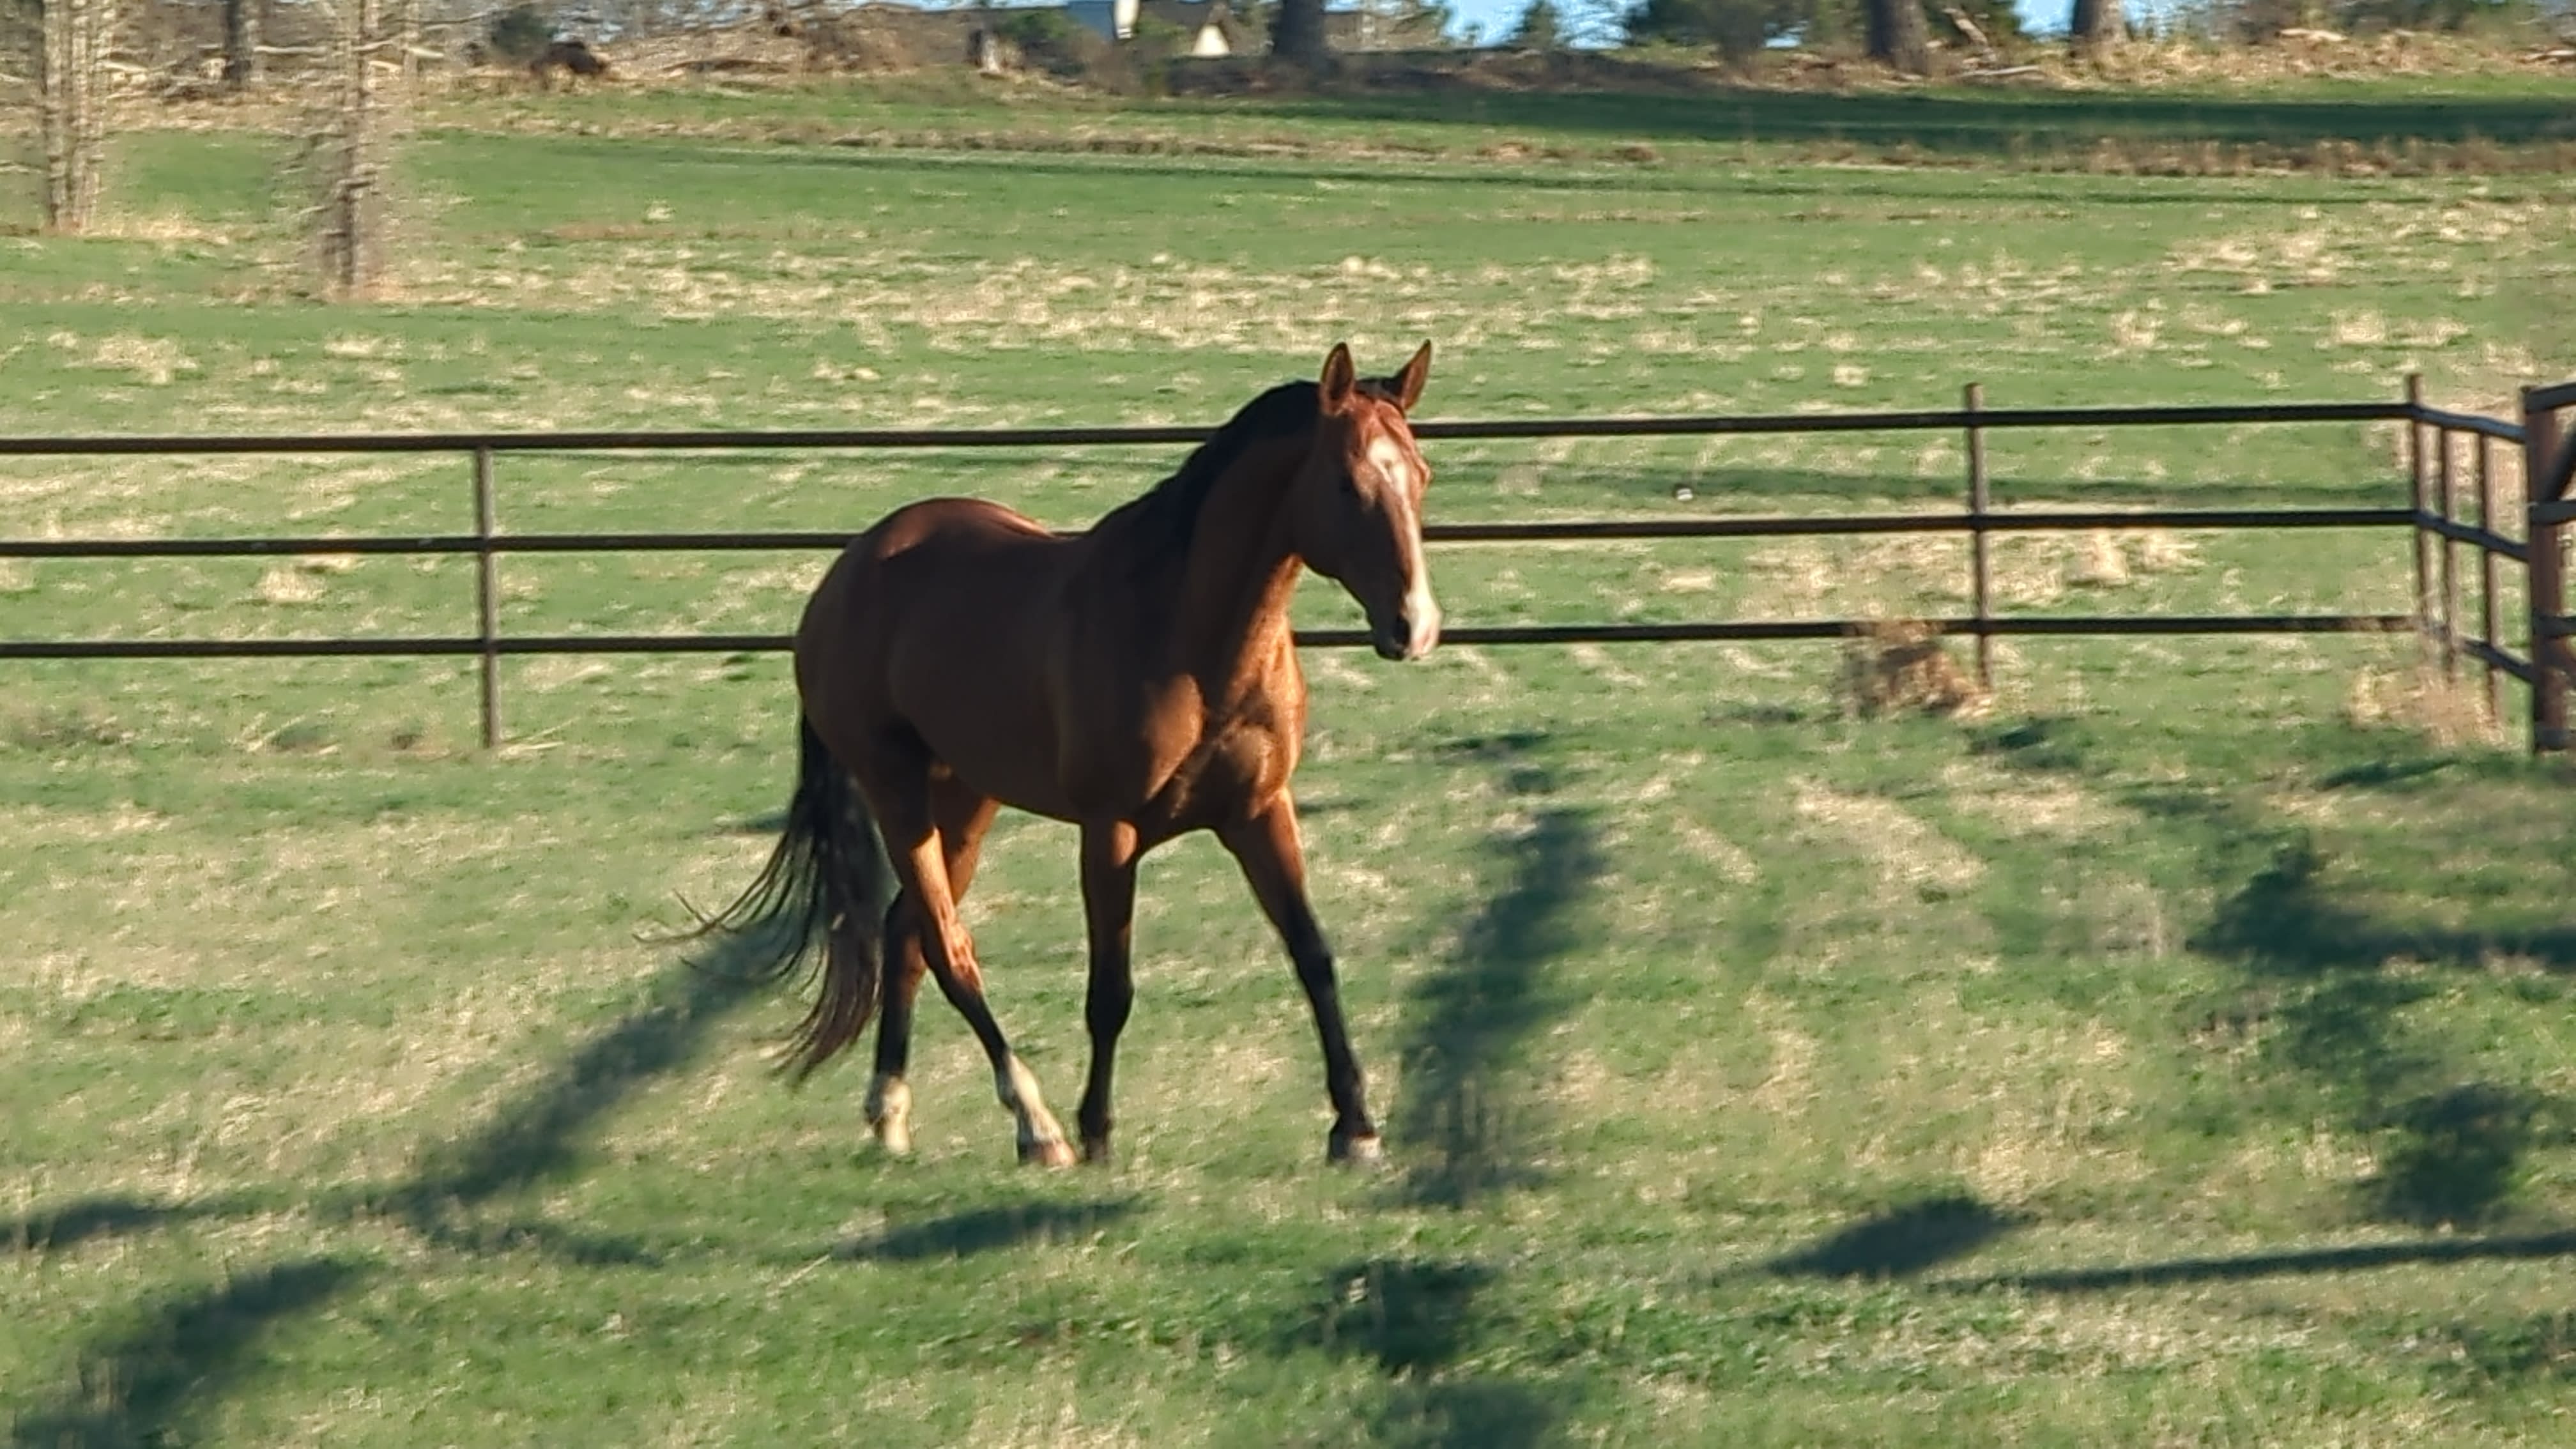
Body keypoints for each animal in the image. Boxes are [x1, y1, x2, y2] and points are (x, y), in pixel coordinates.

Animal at [688, 342, 1440, 1167]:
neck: (1186, 636)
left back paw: (891, 1108)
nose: (1415, 626)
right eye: (1346, 482)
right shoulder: (1110, 832)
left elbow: (1314, 957)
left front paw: (1356, 1126)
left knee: (906, 934)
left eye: (1421, 474)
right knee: (947, 945)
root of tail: (849, 571)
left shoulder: (1259, 813)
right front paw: (1098, 1131)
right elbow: (1110, 990)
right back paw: (1035, 1123)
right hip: (897, 793)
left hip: (966, 800)